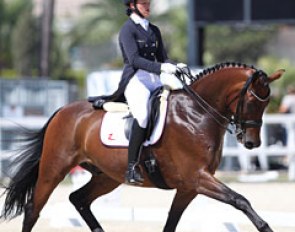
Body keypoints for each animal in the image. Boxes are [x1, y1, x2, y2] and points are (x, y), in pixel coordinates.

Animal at [0, 62, 284, 231]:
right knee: (33, 208)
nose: (252, 143)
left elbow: (171, 222)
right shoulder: (197, 177)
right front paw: (265, 227)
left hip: (107, 176)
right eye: (253, 102)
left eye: (267, 103)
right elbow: (240, 200)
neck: (196, 113)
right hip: (54, 168)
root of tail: (62, 111)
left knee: (78, 199)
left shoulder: (188, 187)